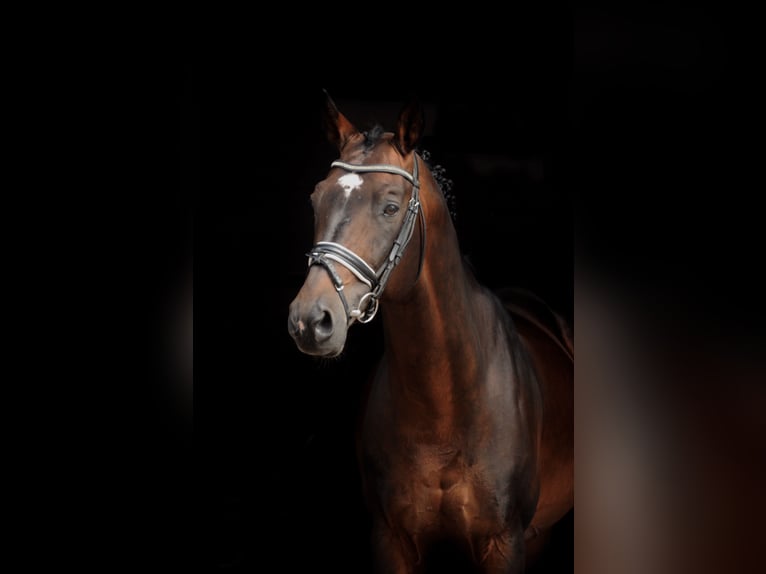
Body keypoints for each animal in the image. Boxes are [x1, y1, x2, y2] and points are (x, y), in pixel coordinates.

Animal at [287, 92, 573, 573]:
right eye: (315, 199)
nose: (311, 320)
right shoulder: (391, 540)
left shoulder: (504, 541)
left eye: (390, 206)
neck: (443, 408)